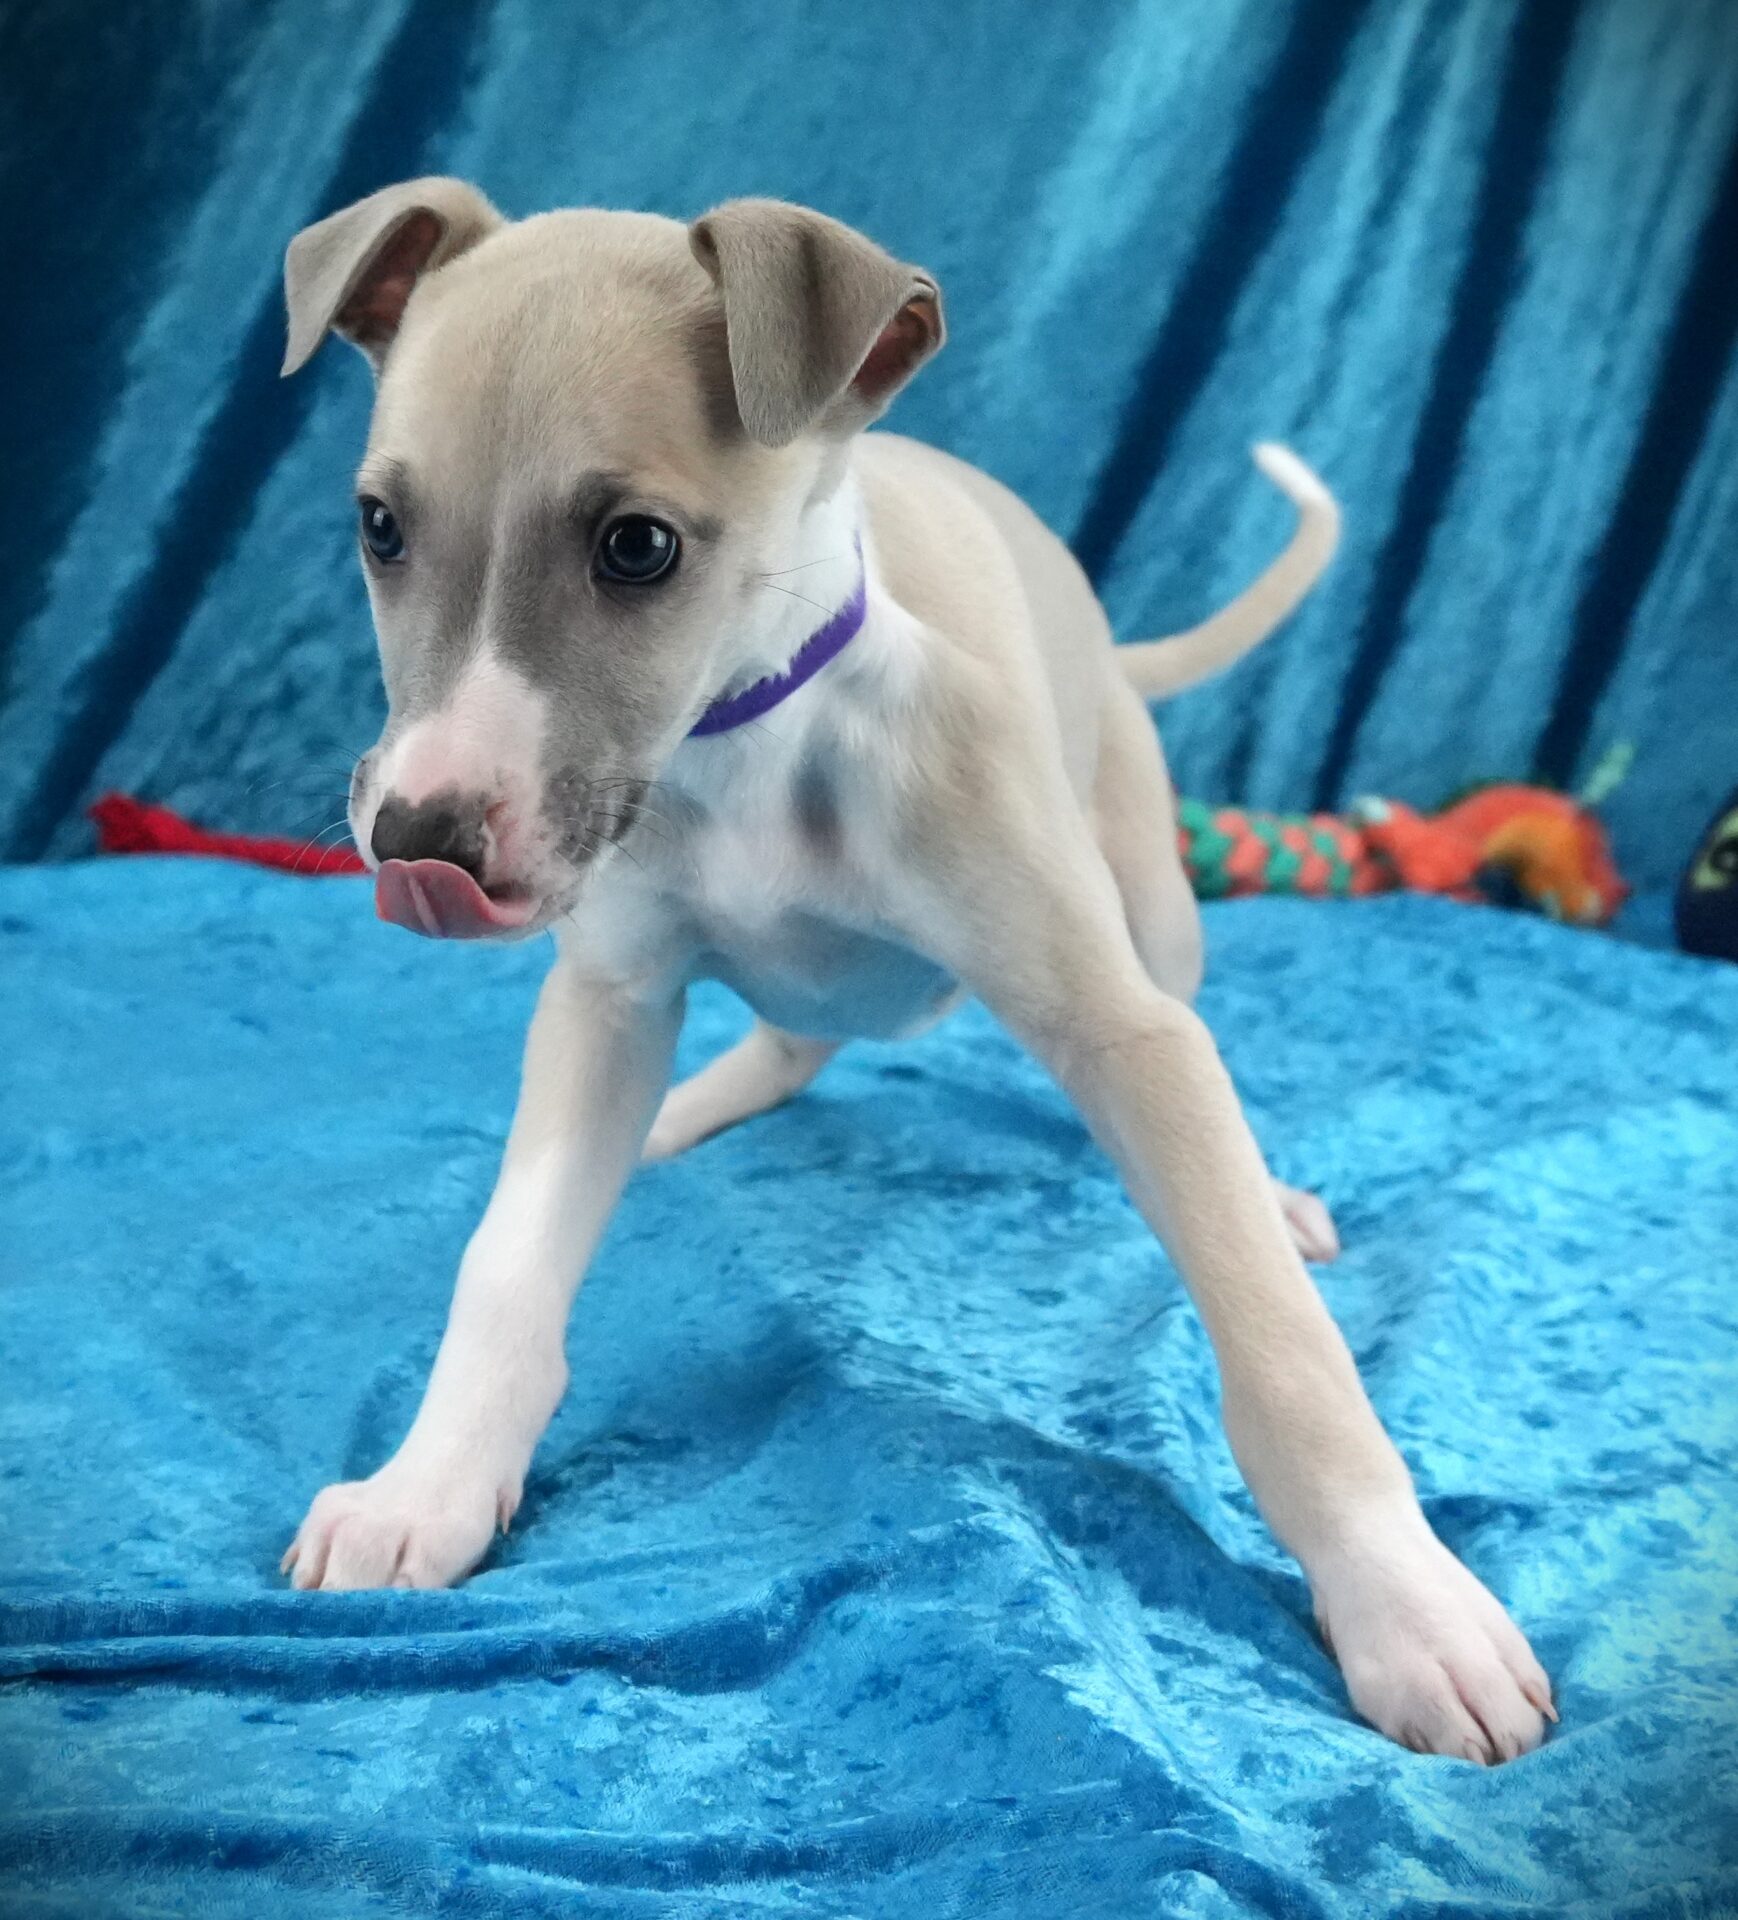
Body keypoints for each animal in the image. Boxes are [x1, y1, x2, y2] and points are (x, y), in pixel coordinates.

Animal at [276, 179, 1553, 1763]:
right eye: (379, 527)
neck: (752, 732)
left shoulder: (1113, 1026)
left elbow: (1281, 1350)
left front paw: (1405, 1604)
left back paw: (1266, 1193)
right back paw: (689, 1111)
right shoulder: (606, 998)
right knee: (793, 1037)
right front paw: (428, 1484)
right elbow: (504, 1262)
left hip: (1150, 907)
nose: (418, 842)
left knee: (1185, 1050)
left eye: (637, 547)